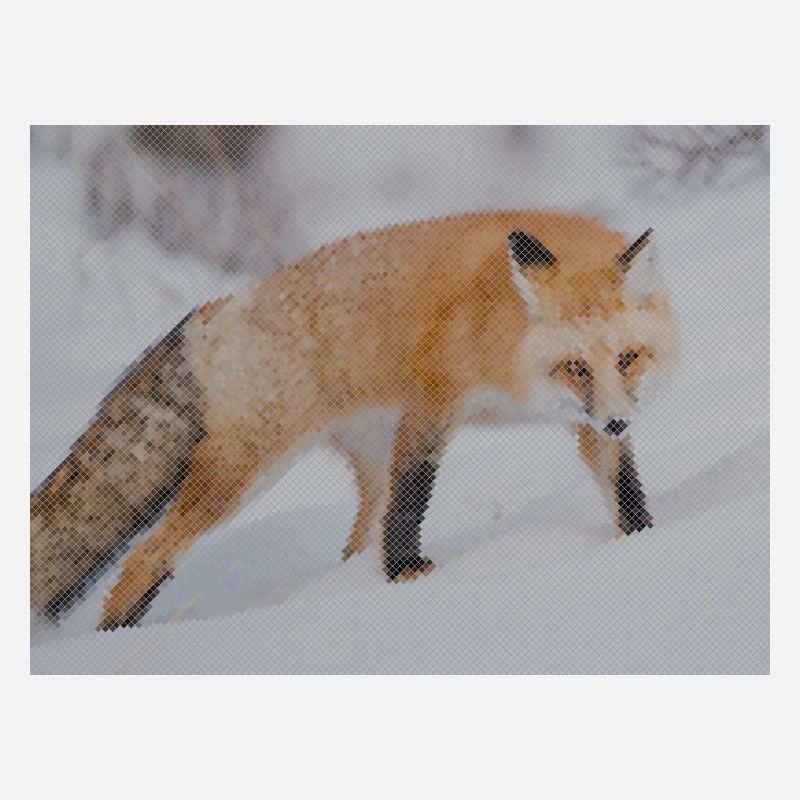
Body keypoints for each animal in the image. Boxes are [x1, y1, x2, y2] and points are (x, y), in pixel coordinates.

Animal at [30, 211, 678, 631]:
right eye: (575, 366)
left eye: (628, 358)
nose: (620, 422)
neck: (504, 334)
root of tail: (220, 308)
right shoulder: (433, 401)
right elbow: (414, 498)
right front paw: (407, 575)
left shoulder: (586, 421)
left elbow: (624, 489)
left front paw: (643, 541)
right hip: (245, 472)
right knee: (147, 555)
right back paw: (118, 635)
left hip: (364, 456)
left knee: (353, 543)